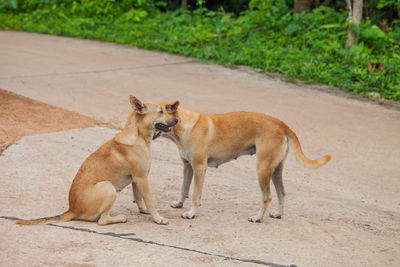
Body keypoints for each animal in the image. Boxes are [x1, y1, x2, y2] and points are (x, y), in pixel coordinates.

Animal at [17, 96, 179, 226]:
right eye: (161, 111)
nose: (177, 120)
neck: (138, 135)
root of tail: (72, 209)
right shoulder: (142, 178)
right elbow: (150, 201)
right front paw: (158, 218)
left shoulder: (137, 179)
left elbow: (139, 197)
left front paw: (143, 210)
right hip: (108, 187)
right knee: (102, 220)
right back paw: (120, 218)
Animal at [161, 105, 330, 223]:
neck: (187, 125)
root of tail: (282, 125)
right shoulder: (187, 166)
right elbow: (184, 189)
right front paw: (179, 204)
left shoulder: (199, 168)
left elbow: (195, 195)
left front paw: (191, 213)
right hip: (276, 170)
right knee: (281, 193)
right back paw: (278, 214)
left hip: (263, 170)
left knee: (267, 197)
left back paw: (258, 218)